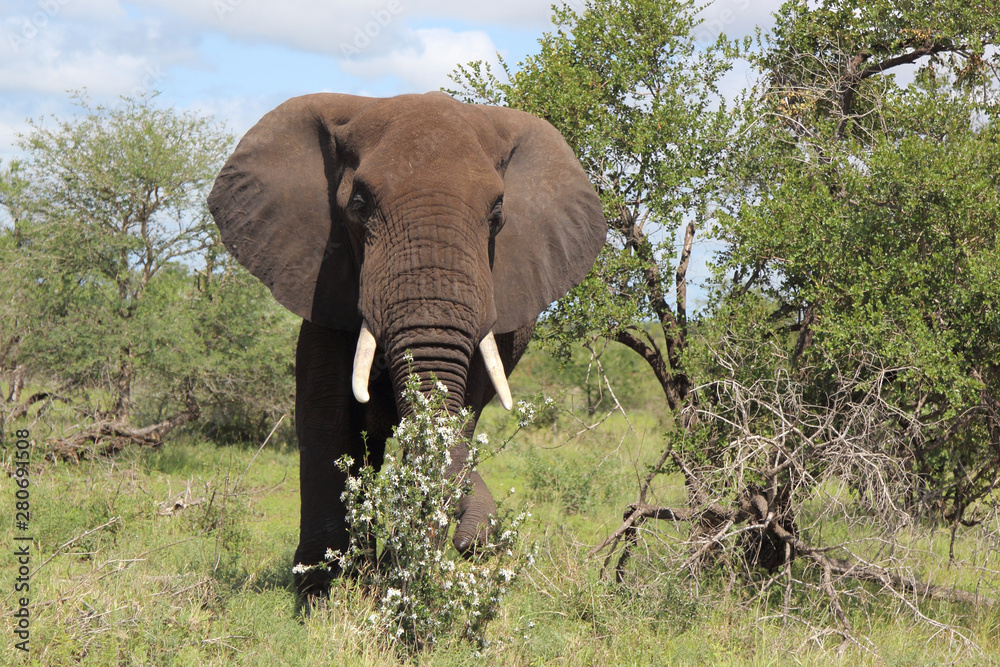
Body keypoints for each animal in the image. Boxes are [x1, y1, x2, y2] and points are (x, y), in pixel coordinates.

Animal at [207, 91, 606, 595]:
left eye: (497, 213)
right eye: (359, 205)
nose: (477, 539)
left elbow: (456, 414)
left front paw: (400, 580)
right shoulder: (323, 278)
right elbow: (325, 415)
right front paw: (320, 591)